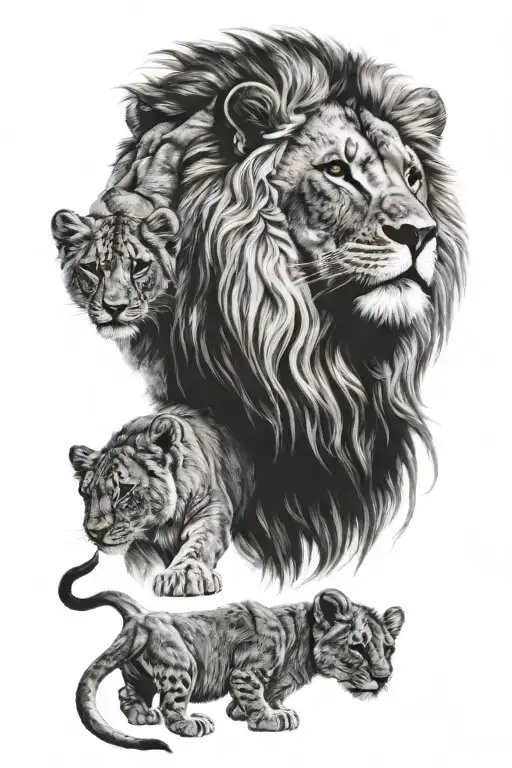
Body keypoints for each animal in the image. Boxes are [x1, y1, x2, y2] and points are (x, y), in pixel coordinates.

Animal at [59, 552, 405, 752]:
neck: (302, 648)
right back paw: (191, 724)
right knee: (172, 706)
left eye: (389, 649)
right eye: (357, 646)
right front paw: (269, 719)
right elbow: (256, 696)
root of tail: (140, 615)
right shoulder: (246, 672)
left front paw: (251, 711)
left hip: (138, 672)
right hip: (181, 667)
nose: (383, 677)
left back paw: (143, 716)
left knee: (127, 693)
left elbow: (268, 694)